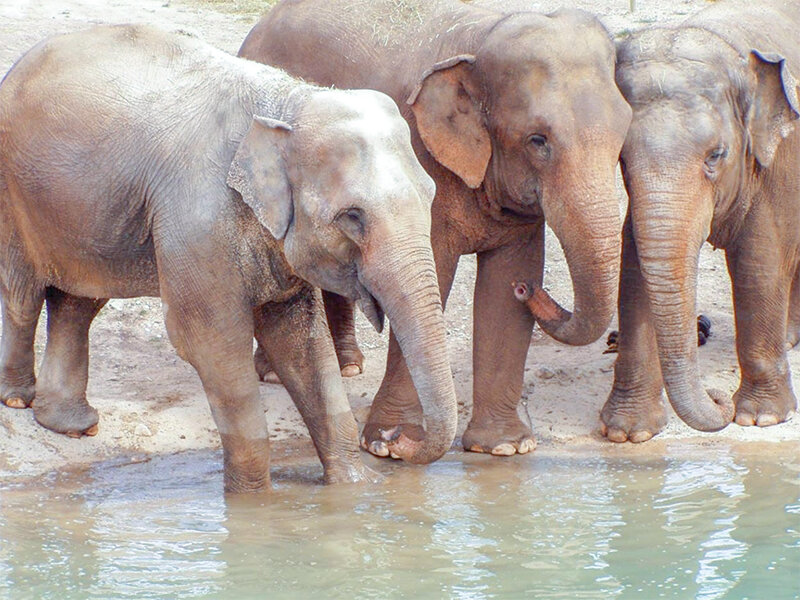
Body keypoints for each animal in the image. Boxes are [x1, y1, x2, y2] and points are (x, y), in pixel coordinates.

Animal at [0, 24, 460, 492]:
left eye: (431, 195)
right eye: (352, 216)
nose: (393, 441)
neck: (290, 102)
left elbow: (300, 339)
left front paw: (354, 486)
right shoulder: (198, 217)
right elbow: (211, 341)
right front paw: (252, 501)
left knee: (79, 301)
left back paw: (72, 425)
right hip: (15, 194)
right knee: (24, 294)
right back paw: (18, 398)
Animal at [604, 0, 796, 442]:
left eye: (716, 155)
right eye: (622, 159)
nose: (717, 397)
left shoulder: (775, 162)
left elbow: (758, 264)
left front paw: (759, 418)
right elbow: (635, 269)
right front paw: (627, 433)